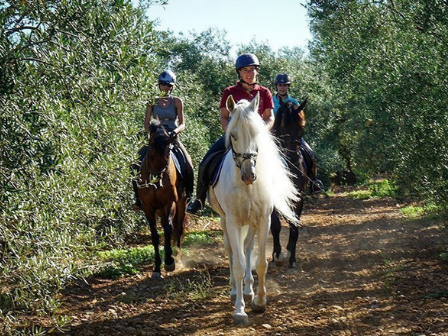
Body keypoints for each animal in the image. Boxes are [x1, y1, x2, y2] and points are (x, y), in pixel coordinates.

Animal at [135, 119, 187, 278]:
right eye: (151, 143)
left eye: (168, 147)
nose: (157, 178)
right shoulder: (147, 207)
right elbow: (154, 235)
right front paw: (157, 267)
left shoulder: (169, 202)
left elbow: (169, 229)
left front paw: (169, 261)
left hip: (182, 203)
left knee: (178, 228)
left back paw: (178, 257)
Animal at [208, 92, 300, 326]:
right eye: (232, 135)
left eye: (257, 133)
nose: (249, 175)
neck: (247, 186)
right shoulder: (232, 221)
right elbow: (239, 265)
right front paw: (240, 311)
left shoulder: (263, 220)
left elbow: (260, 264)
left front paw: (259, 301)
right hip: (225, 220)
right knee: (232, 252)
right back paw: (235, 290)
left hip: (250, 223)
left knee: (248, 249)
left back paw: (248, 290)